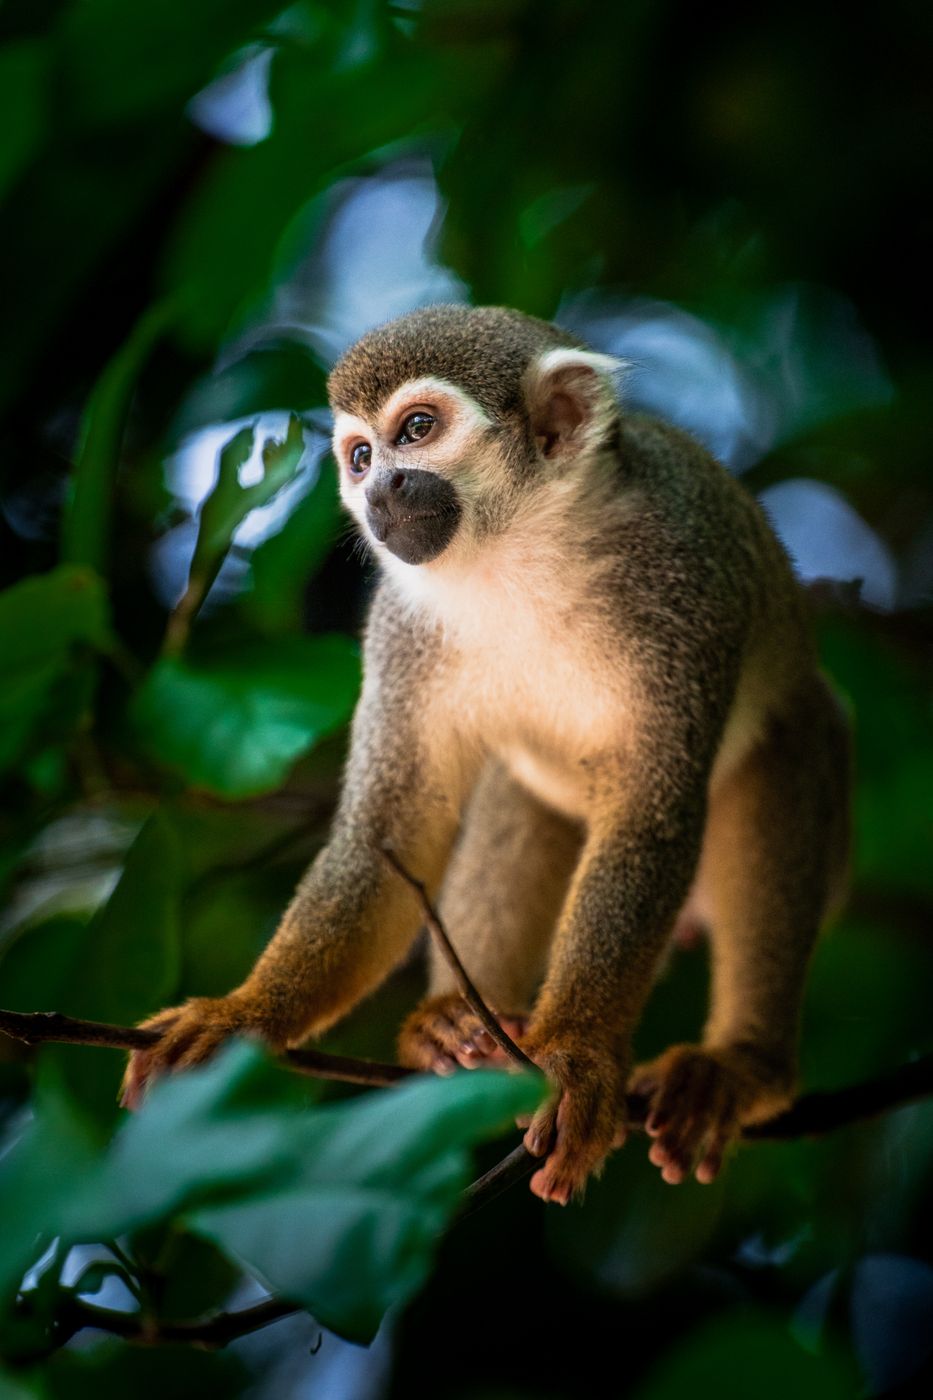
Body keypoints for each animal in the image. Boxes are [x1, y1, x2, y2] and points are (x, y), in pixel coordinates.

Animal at [122, 304, 850, 1205]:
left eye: (417, 430)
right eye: (360, 456)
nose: (378, 489)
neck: (519, 554)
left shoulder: (683, 588)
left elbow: (650, 820)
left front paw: (576, 1055)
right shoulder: (401, 626)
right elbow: (388, 832)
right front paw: (244, 1016)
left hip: (813, 746)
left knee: (773, 775)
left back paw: (741, 1067)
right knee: (515, 796)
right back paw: (456, 1027)